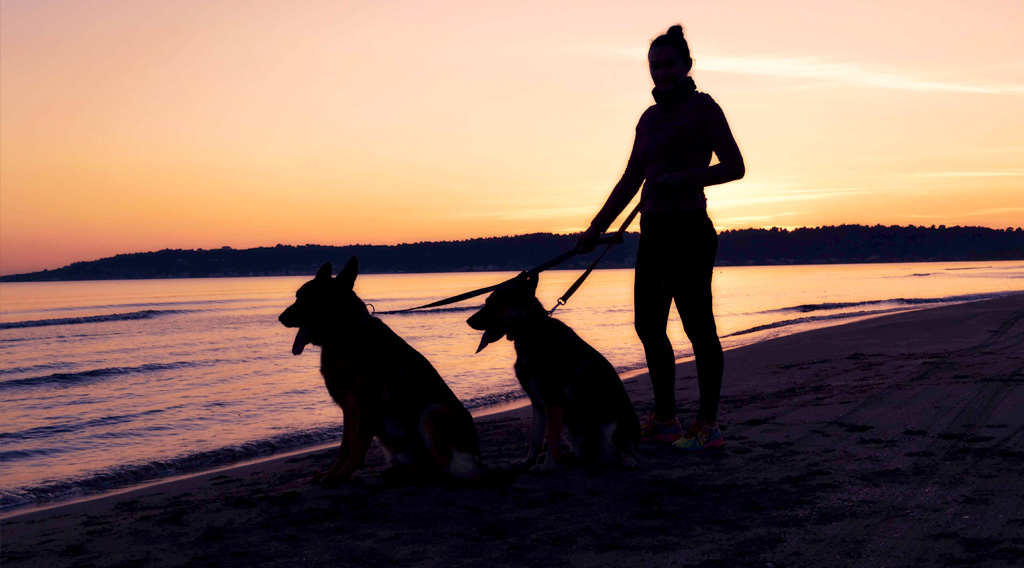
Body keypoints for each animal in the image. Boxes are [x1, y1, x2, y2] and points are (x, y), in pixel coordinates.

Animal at [280, 258, 483, 485]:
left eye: (308, 298)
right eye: (298, 296)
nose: (280, 318)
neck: (348, 334)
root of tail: (477, 460)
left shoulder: (367, 408)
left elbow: (356, 448)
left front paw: (340, 476)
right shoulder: (349, 411)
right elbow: (344, 448)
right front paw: (333, 472)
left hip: (433, 411)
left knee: (442, 464)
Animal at [466, 274, 638, 468]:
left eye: (496, 303)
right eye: (487, 302)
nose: (468, 321)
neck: (533, 331)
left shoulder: (552, 400)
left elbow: (550, 438)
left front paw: (547, 466)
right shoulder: (538, 403)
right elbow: (536, 437)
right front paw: (529, 461)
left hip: (609, 426)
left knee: (619, 452)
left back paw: (627, 460)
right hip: (570, 426)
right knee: (582, 455)